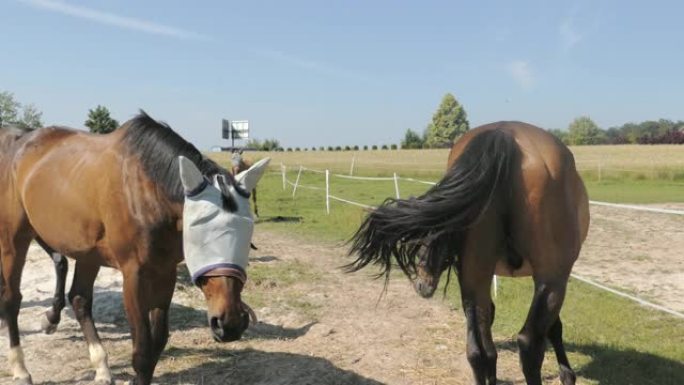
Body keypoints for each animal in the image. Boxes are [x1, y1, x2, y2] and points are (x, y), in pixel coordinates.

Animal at [0, 112, 272, 384]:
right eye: (199, 237)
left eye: (247, 236)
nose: (230, 323)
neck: (148, 192)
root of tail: (20, 140)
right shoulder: (134, 276)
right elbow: (142, 350)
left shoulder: (165, 272)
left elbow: (157, 343)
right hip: (15, 238)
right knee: (12, 299)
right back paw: (20, 368)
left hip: (88, 252)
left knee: (79, 298)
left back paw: (100, 366)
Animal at [350, 121, 592, 384]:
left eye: (429, 246)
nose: (422, 286)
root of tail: (504, 135)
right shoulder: (549, 278)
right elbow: (554, 328)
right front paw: (566, 374)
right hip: (550, 279)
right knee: (527, 343)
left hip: (476, 276)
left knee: (478, 351)